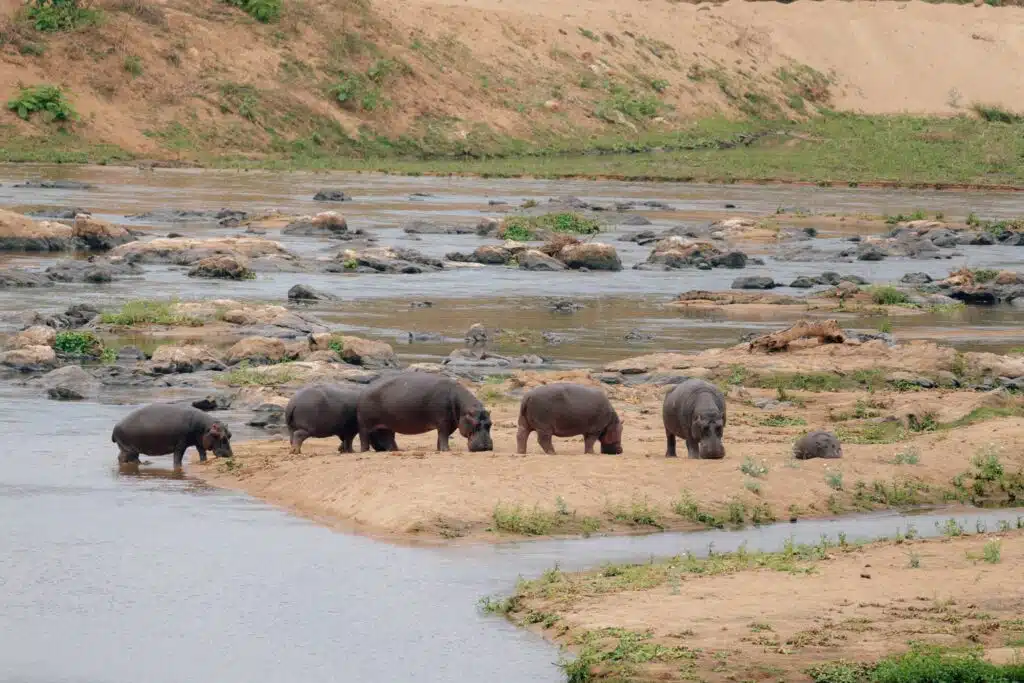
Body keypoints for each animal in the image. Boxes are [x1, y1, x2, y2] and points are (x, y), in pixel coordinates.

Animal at [357, 372, 493, 452]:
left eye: (490, 424)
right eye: (475, 424)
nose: (485, 447)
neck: (464, 408)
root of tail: (365, 389)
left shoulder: (452, 423)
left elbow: (442, 436)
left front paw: (439, 449)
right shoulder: (443, 421)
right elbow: (443, 435)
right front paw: (446, 450)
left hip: (387, 425)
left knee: (388, 437)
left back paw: (396, 450)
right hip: (365, 425)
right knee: (364, 437)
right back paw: (365, 451)